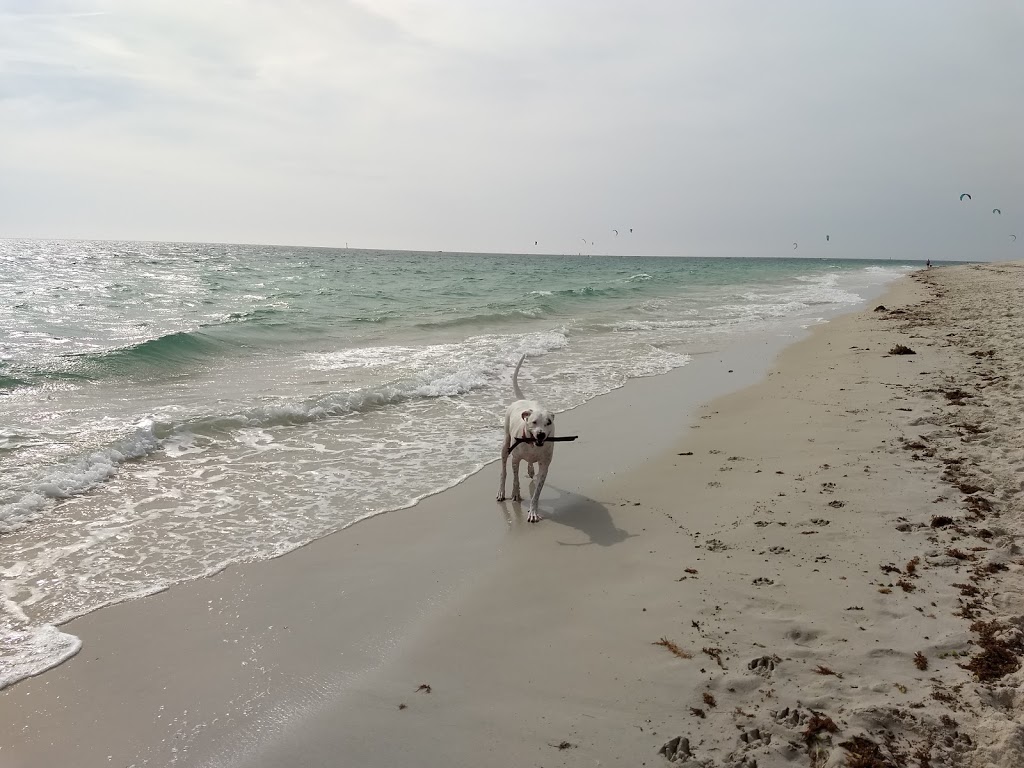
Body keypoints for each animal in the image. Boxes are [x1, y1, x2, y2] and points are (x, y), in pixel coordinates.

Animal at [497, 354, 557, 524]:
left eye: (548, 422)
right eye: (534, 422)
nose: (541, 434)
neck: (533, 445)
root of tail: (521, 400)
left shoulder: (544, 466)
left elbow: (537, 492)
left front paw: (533, 512)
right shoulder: (515, 458)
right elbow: (515, 477)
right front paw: (515, 494)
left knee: (530, 463)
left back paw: (530, 469)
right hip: (505, 442)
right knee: (504, 470)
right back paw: (502, 492)